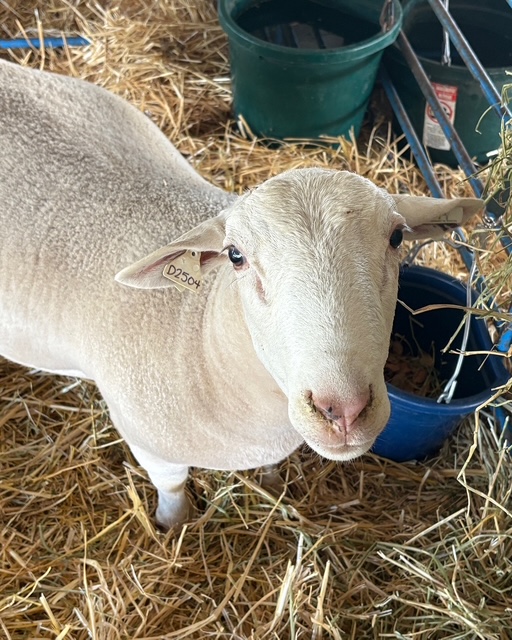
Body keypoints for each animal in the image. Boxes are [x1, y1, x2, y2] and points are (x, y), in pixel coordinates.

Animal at [0, 59, 483, 529]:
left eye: (397, 238)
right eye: (235, 256)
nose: (343, 411)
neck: (201, 337)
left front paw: (271, 486)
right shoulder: (150, 445)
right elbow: (173, 489)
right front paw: (172, 527)